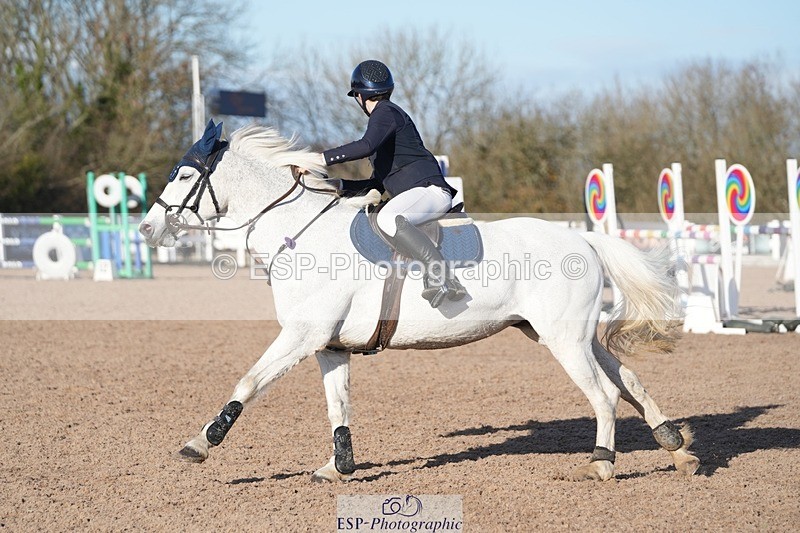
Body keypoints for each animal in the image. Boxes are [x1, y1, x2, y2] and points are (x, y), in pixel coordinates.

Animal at [139, 121, 699, 482]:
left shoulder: (300, 336)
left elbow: (249, 382)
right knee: (628, 381)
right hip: (566, 335)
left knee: (604, 396)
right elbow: (337, 405)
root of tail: (581, 238)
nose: (147, 229)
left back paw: (602, 462)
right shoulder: (329, 346)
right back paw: (677, 449)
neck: (299, 232)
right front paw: (338, 467)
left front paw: (201, 443)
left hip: (564, 339)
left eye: (185, 176)